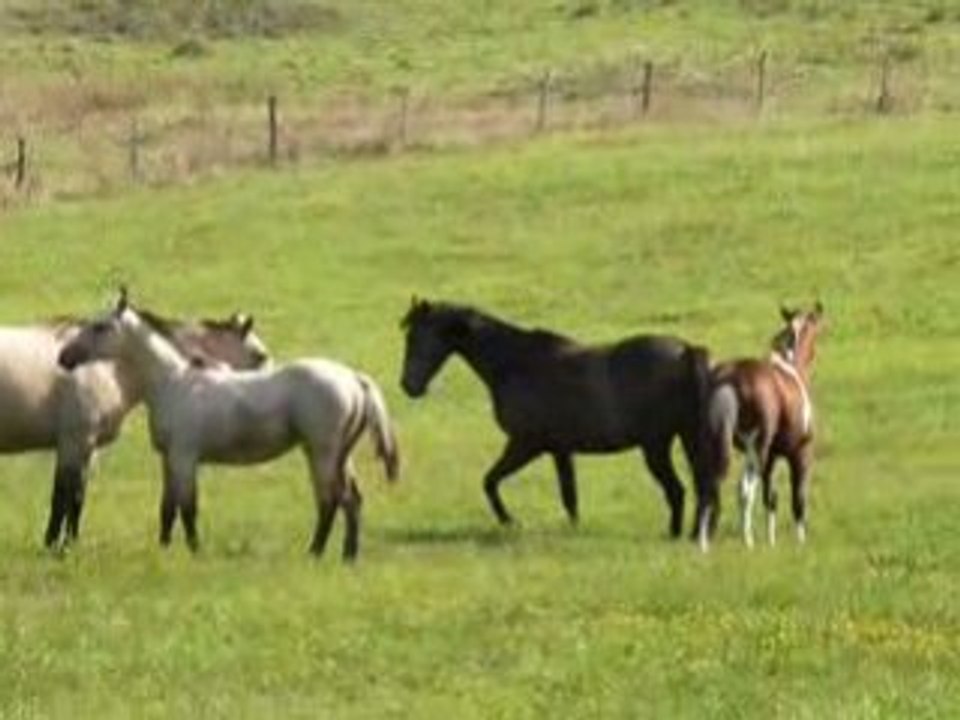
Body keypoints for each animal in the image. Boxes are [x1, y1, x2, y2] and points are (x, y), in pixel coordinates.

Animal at [0, 299, 270, 549]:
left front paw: (70, 543)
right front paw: (53, 544)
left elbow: (77, 499)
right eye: (260, 356)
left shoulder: (87, 448)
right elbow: (62, 497)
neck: (109, 369)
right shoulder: (73, 442)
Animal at [58, 291, 400, 561]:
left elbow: (188, 507)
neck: (174, 382)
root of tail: (353, 378)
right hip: (339, 456)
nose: (64, 357)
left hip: (322, 453)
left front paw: (195, 552)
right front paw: (164, 550)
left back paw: (317, 553)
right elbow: (167, 508)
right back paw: (346, 555)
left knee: (331, 500)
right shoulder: (169, 459)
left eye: (100, 326)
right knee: (350, 500)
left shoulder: (185, 458)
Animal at [399, 298, 712, 538]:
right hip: (684, 439)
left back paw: (674, 534)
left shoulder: (525, 444)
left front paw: (509, 521)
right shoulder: (560, 450)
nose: (408, 386)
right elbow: (569, 495)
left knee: (678, 490)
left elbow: (489, 481)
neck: (515, 364)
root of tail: (686, 350)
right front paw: (574, 529)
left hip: (656, 447)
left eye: (414, 338)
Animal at [696, 302, 824, 551]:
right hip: (757, 448)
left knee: (710, 485)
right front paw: (800, 542)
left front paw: (771, 541)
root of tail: (730, 379)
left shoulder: (771, 457)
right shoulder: (800, 453)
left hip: (721, 445)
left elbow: (770, 497)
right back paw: (747, 541)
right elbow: (797, 500)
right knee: (745, 489)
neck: (791, 368)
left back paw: (704, 544)